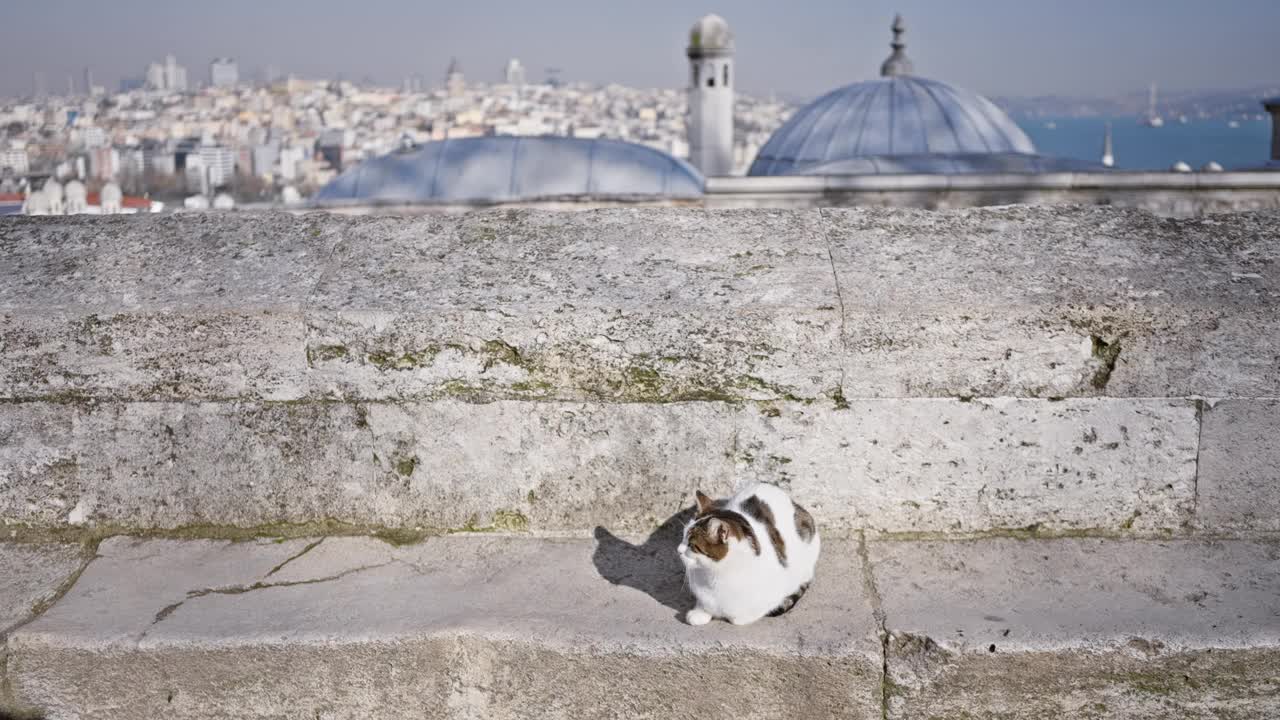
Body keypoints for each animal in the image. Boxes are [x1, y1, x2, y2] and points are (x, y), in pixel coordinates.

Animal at [680, 481, 819, 622]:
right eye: (683, 536)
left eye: (691, 545)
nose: (678, 550)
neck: (714, 574)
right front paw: (700, 613)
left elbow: (741, 617)